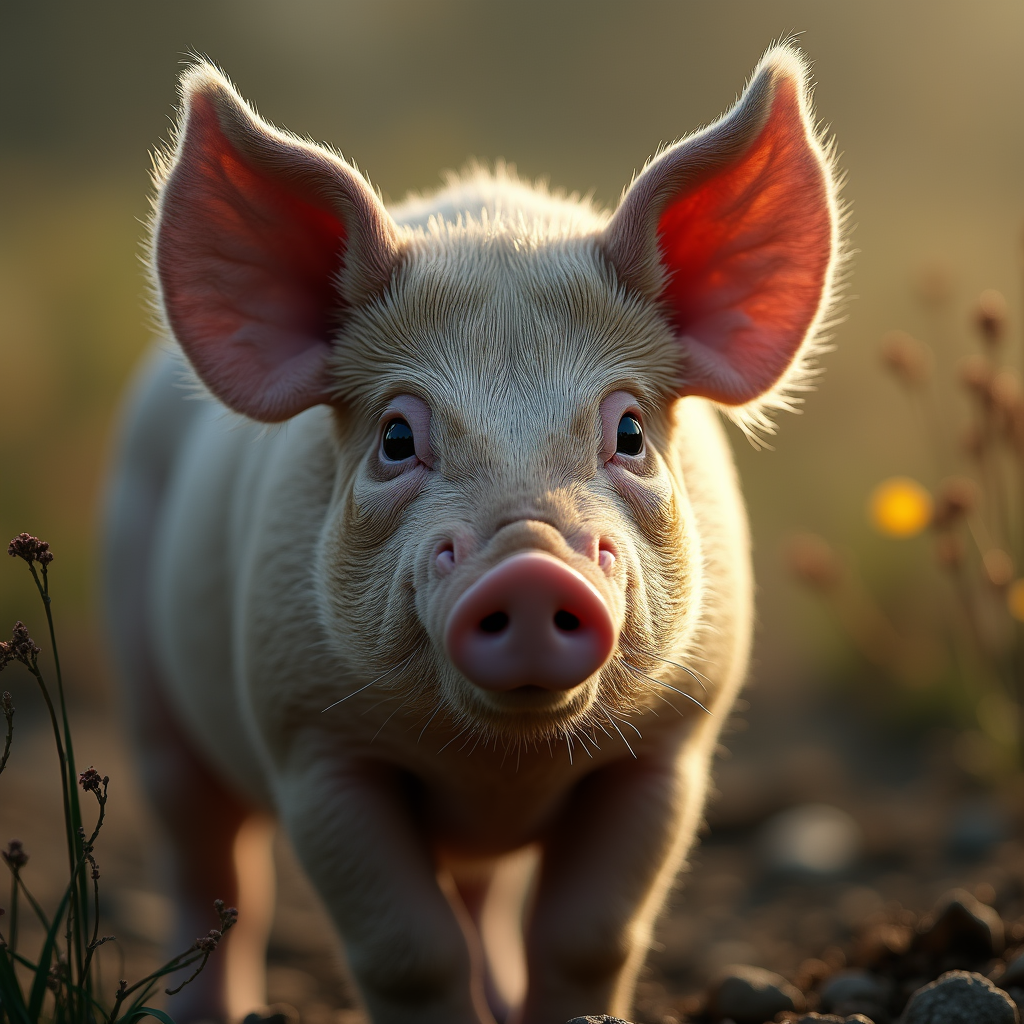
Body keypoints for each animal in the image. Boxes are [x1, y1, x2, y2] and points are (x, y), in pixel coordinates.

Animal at [103, 43, 838, 1024]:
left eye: (630, 432)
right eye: (396, 438)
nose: (529, 566)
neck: (497, 762)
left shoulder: (673, 746)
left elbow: (590, 932)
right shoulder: (313, 746)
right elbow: (406, 947)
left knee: (481, 892)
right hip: (144, 672)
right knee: (209, 861)